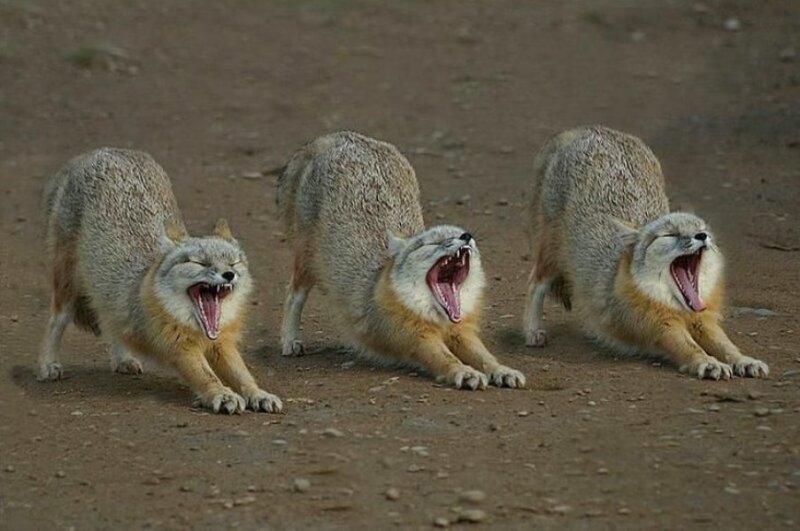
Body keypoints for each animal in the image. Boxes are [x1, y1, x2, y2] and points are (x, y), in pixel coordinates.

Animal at [39, 148, 282, 414]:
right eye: (200, 263)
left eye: (233, 263)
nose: (229, 275)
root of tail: (103, 150)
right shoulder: (179, 348)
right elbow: (206, 375)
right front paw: (222, 394)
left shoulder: (222, 343)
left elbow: (243, 375)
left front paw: (258, 394)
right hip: (67, 287)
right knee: (56, 321)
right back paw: (48, 364)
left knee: (110, 322)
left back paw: (123, 359)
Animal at [276, 131, 525, 390]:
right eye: (433, 242)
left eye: (459, 234)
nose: (467, 236)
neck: (438, 319)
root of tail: (338, 135)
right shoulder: (415, 339)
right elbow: (446, 359)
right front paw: (464, 371)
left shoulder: (462, 333)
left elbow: (485, 357)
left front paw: (501, 370)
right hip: (307, 261)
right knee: (293, 293)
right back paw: (290, 340)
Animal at [523, 126, 769, 380]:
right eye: (669, 235)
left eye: (702, 229)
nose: (702, 237)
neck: (679, 308)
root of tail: (590, 128)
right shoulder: (661, 326)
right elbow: (689, 347)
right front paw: (707, 362)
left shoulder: (704, 320)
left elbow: (726, 345)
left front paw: (744, 360)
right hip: (552, 255)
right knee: (535, 282)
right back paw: (533, 331)